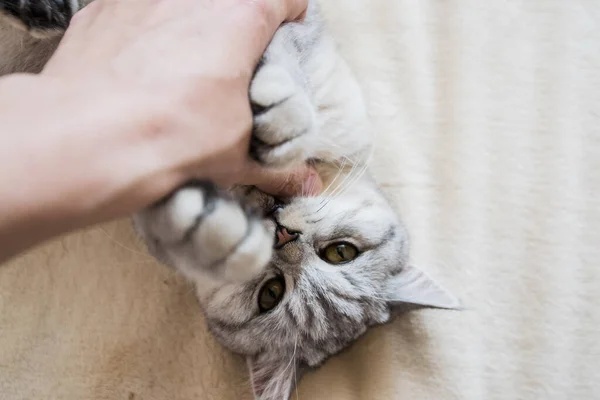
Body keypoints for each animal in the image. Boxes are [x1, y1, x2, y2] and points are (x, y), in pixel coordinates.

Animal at [0, 1, 460, 398]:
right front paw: (286, 116)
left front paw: (208, 233)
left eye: (270, 294)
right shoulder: (294, 26)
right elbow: (288, 61)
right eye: (341, 252)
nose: (283, 235)